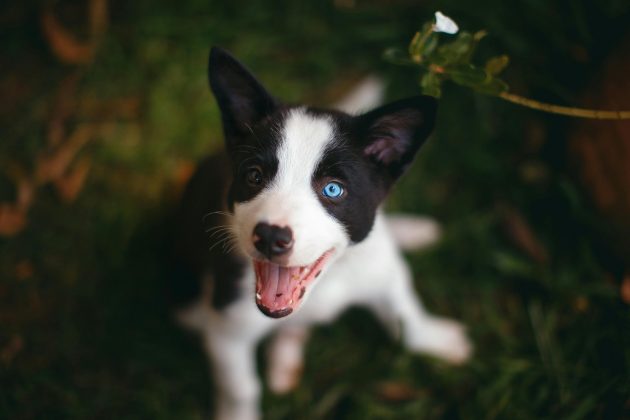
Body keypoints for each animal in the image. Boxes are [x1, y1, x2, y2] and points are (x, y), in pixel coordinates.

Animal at [170, 47, 472, 420]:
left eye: (332, 189)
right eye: (254, 176)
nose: (269, 237)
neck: (328, 280)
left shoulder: (382, 271)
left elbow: (406, 313)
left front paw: (436, 339)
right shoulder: (226, 326)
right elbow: (240, 388)